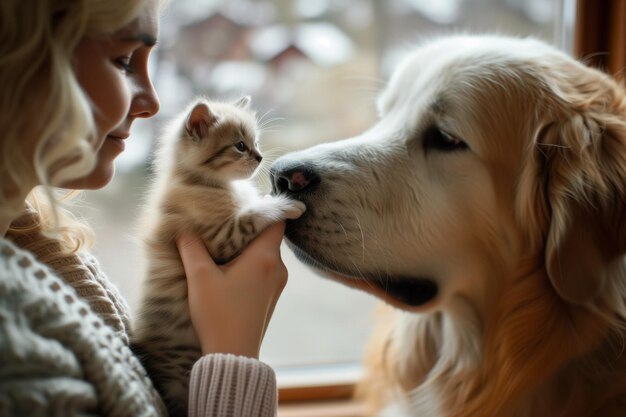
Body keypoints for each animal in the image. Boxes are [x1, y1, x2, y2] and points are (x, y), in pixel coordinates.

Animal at [132, 96, 304, 414]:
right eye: (240, 146)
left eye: (256, 142)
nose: (260, 157)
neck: (200, 182)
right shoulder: (219, 240)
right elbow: (251, 216)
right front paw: (283, 204)